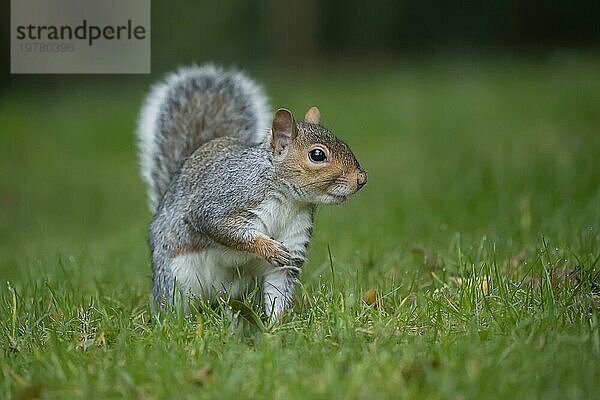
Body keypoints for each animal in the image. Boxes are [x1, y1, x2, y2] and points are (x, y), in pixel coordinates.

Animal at [137, 65, 366, 322]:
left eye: (344, 143)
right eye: (317, 155)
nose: (361, 179)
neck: (288, 200)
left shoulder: (294, 241)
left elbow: (279, 290)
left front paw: (276, 325)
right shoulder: (224, 199)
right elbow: (218, 226)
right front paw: (267, 248)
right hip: (177, 277)